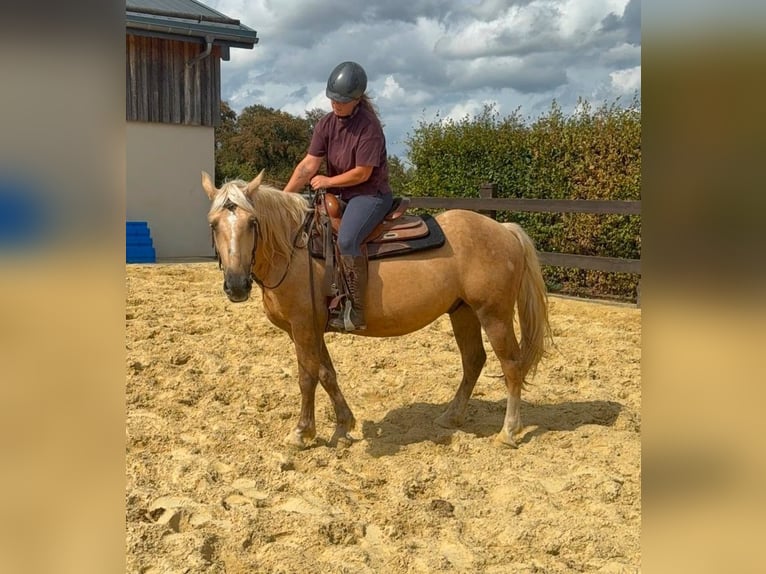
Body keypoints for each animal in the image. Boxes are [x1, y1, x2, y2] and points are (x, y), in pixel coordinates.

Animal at [201, 170, 552, 449]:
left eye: (252, 222)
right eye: (214, 224)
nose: (236, 285)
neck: (294, 248)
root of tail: (504, 229)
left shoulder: (302, 327)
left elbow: (307, 377)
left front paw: (302, 433)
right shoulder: (312, 329)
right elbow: (327, 374)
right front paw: (344, 426)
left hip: (494, 315)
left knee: (511, 365)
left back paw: (508, 432)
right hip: (463, 311)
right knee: (474, 361)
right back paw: (450, 417)